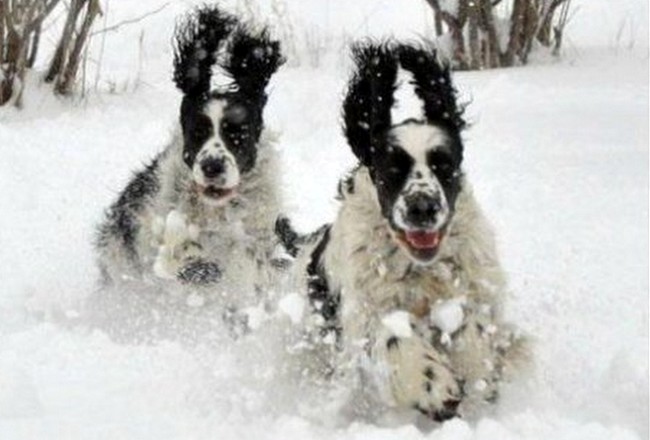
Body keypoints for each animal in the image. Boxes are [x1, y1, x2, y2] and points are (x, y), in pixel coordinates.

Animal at [281, 42, 528, 422]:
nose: (422, 208)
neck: (421, 268)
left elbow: (472, 322)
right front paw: (437, 387)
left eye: (444, 165)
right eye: (392, 170)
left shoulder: (473, 283)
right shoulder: (366, 309)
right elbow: (392, 333)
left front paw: (476, 371)